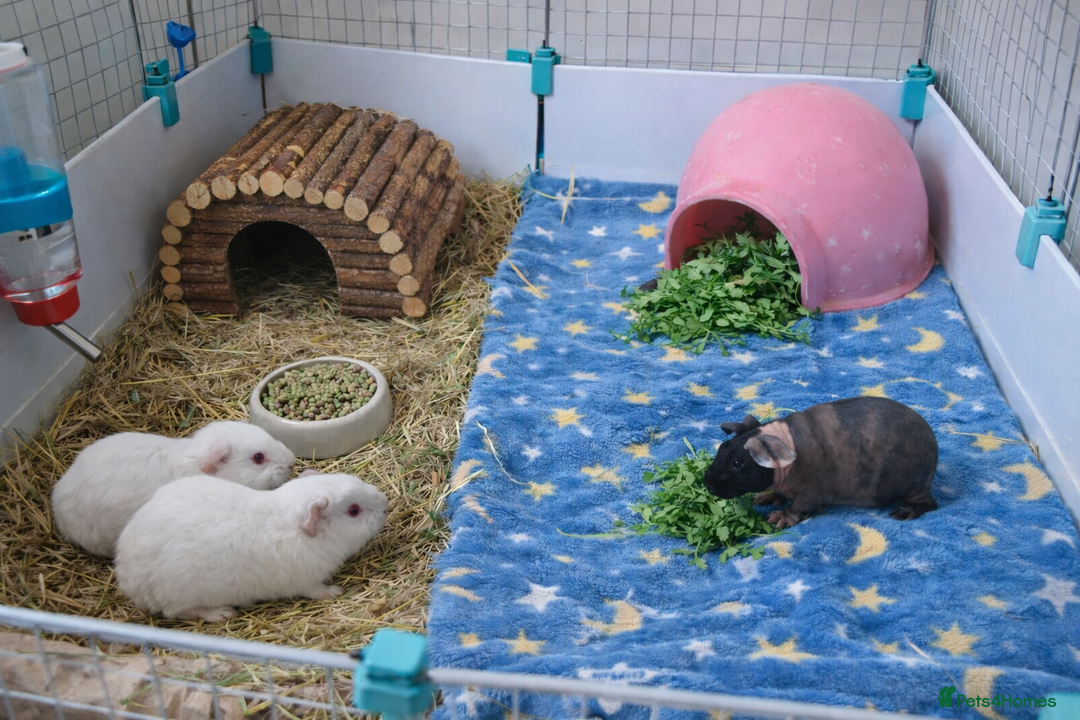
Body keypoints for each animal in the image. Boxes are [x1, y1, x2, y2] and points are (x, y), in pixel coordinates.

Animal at [702, 396, 938, 528]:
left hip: (914, 487)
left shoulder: (812, 492)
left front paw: (780, 517)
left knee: (929, 504)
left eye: (737, 463)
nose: (707, 484)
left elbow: (800, 505)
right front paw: (766, 497)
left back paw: (905, 512)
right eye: (722, 448)